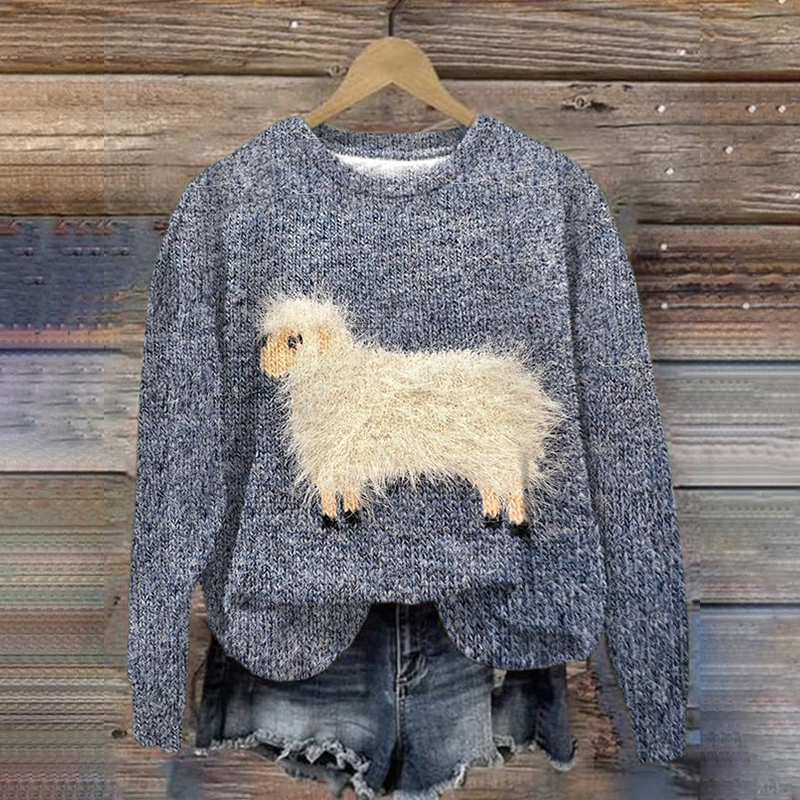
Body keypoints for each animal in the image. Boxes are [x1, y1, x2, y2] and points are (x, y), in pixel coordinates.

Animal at [254, 288, 567, 536]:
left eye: (295, 340)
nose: (265, 367)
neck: (334, 371)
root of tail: (521, 387)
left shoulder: (333, 453)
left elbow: (330, 489)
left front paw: (332, 518)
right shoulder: (342, 457)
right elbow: (346, 489)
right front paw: (351, 515)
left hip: (499, 453)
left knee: (512, 486)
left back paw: (516, 524)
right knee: (491, 486)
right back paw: (491, 518)